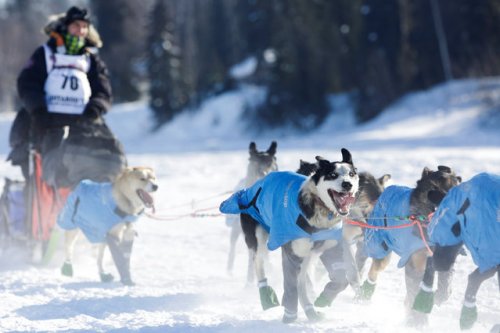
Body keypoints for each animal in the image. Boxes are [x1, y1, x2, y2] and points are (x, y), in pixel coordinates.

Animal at [220, 148, 360, 322]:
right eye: (332, 175)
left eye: (351, 174)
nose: (347, 184)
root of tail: (250, 189)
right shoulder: (291, 253)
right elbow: (292, 286)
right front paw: (290, 315)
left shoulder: (331, 248)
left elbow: (340, 279)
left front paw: (322, 300)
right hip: (258, 240)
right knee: (259, 263)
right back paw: (266, 295)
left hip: (307, 255)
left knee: (303, 279)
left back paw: (310, 308)